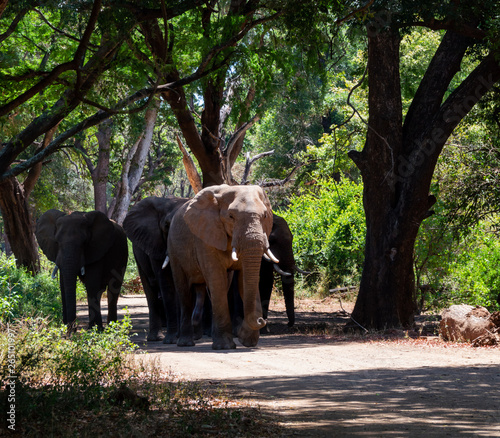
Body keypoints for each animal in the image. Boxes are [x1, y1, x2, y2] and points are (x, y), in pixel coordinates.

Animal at [122, 195, 188, 342]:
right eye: (167, 226)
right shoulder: (155, 243)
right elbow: (167, 284)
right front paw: (171, 340)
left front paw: (179, 338)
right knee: (150, 289)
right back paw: (155, 338)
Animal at [169, 184, 278, 350]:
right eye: (231, 217)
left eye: (265, 215)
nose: (262, 320)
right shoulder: (205, 235)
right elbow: (216, 279)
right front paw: (225, 346)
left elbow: (244, 281)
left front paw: (247, 341)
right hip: (173, 249)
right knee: (184, 293)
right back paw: (185, 343)